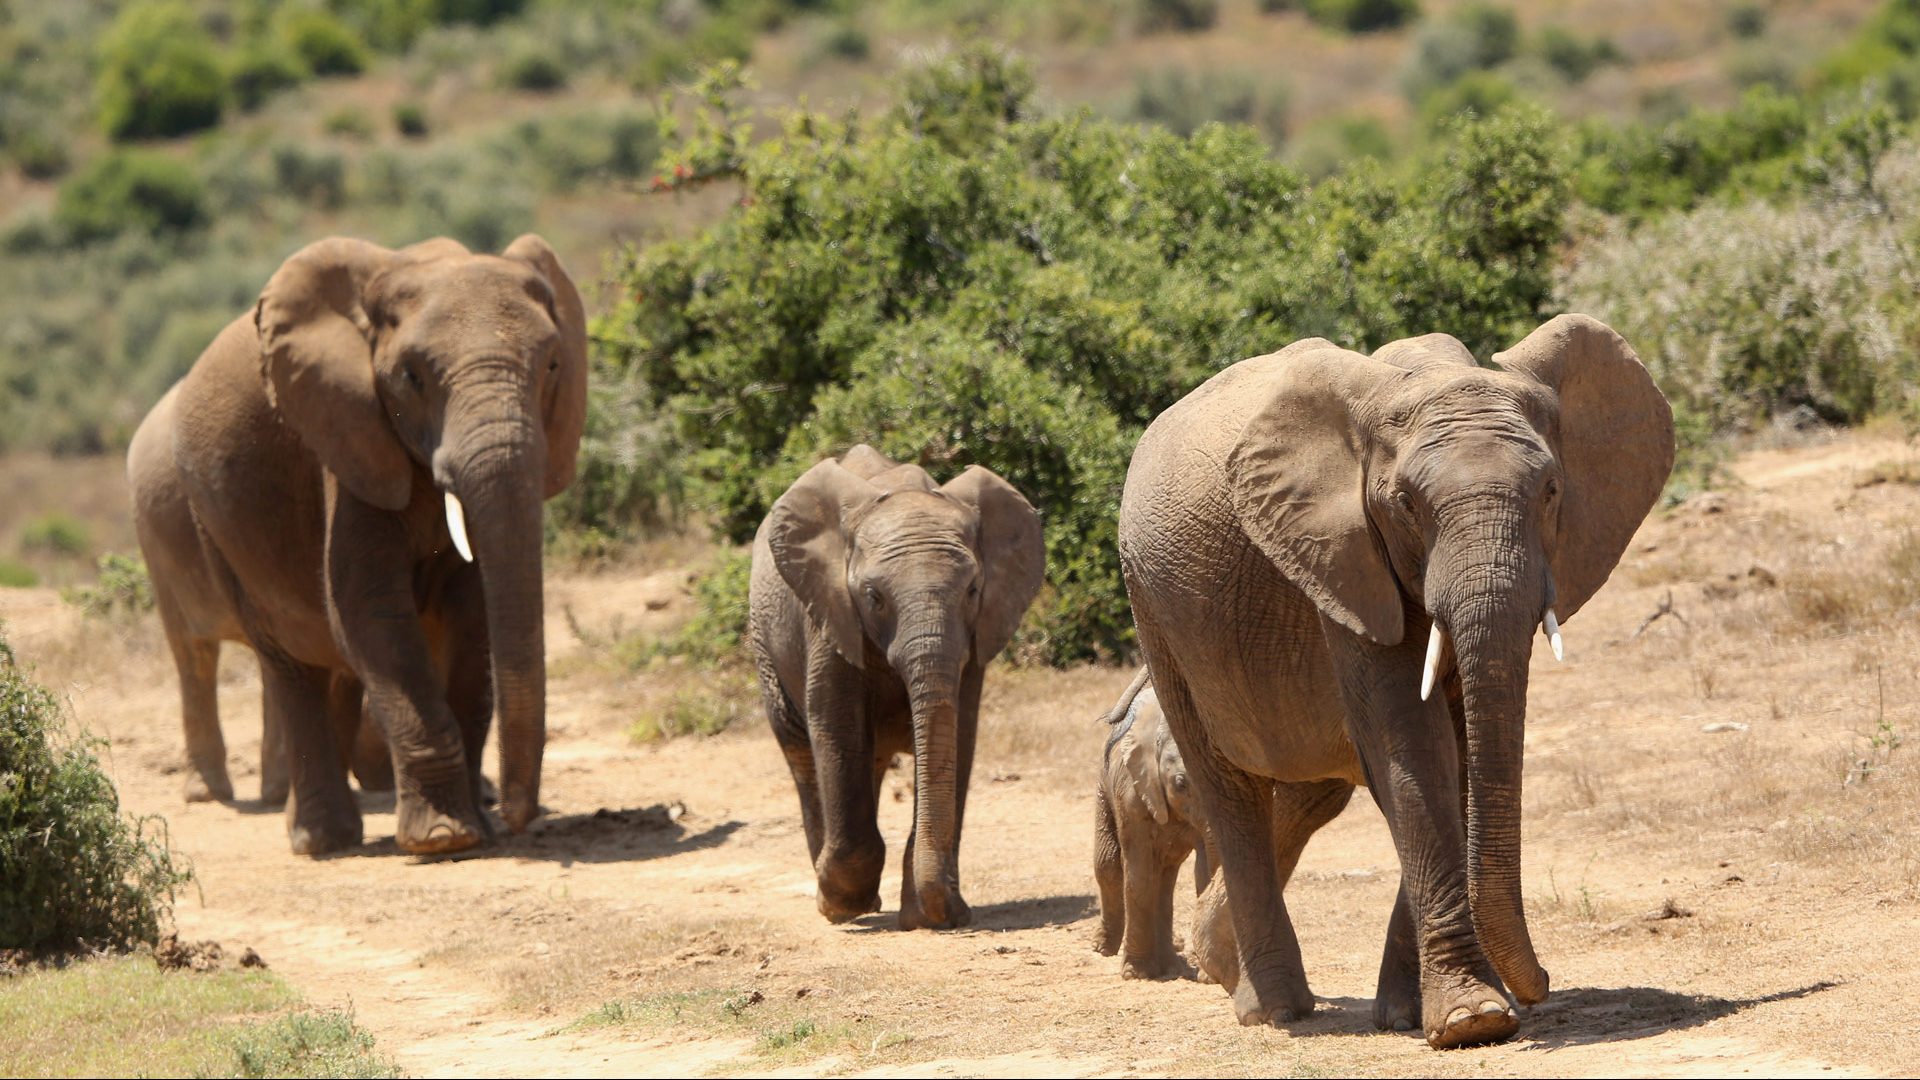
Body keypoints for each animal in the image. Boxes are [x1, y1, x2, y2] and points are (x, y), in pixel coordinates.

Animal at [127, 235, 583, 857]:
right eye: (412, 377)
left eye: (553, 365)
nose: (520, 816)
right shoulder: (345, 439)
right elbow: (370, 612)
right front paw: (443, 840)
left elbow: (471, 617)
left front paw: (475, 828)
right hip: (199, 528)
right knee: (263, 661)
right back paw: (312, 837)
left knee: (328, 666)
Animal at [752, 443, 1052, 926]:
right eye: (873, 597)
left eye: (973, 590)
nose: (952, 912)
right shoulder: (829, 613)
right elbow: (838, 729)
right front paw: (845, 906)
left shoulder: (976, 636)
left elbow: (959, 736)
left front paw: (929, 916)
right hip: (767, 648)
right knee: (802, 753)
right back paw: (833, 900)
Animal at [1098, 664, 1213, 976]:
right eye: (1180, 783)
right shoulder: (1131, 791)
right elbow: (1138, 871)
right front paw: (1136, 974)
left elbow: (1205, 869)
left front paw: (1206, 976)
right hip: (1103, 788)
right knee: (1108, 865)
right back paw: (1103, 949)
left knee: (1165, 878)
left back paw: (1170, 965)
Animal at [1121, 311, 1674, 1045]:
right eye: (1407, 504)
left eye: (1552, 491)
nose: (1543, 984)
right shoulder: (1339, 552)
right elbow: (1411, 743)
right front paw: (1472, 1021)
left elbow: (1457, 754)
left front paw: (1423, 1016)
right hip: (1155, 608)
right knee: (1228, 788)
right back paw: (1273, 1009)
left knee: (1311, 791)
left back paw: (1221, 963)